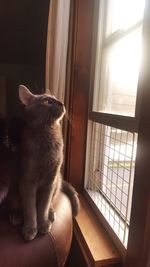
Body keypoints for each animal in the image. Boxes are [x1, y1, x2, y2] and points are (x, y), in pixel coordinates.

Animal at [18, 86, 79, 241]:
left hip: (56, 182)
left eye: (56, 98)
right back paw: (15, 215)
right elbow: (30, 208)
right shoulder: (27, 182)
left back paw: (51, 213)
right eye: (47, 101)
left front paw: (43, 223)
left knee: (52, 200)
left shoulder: (50, 181)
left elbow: (43, 206)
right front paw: (30, 228)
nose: (62, 103)